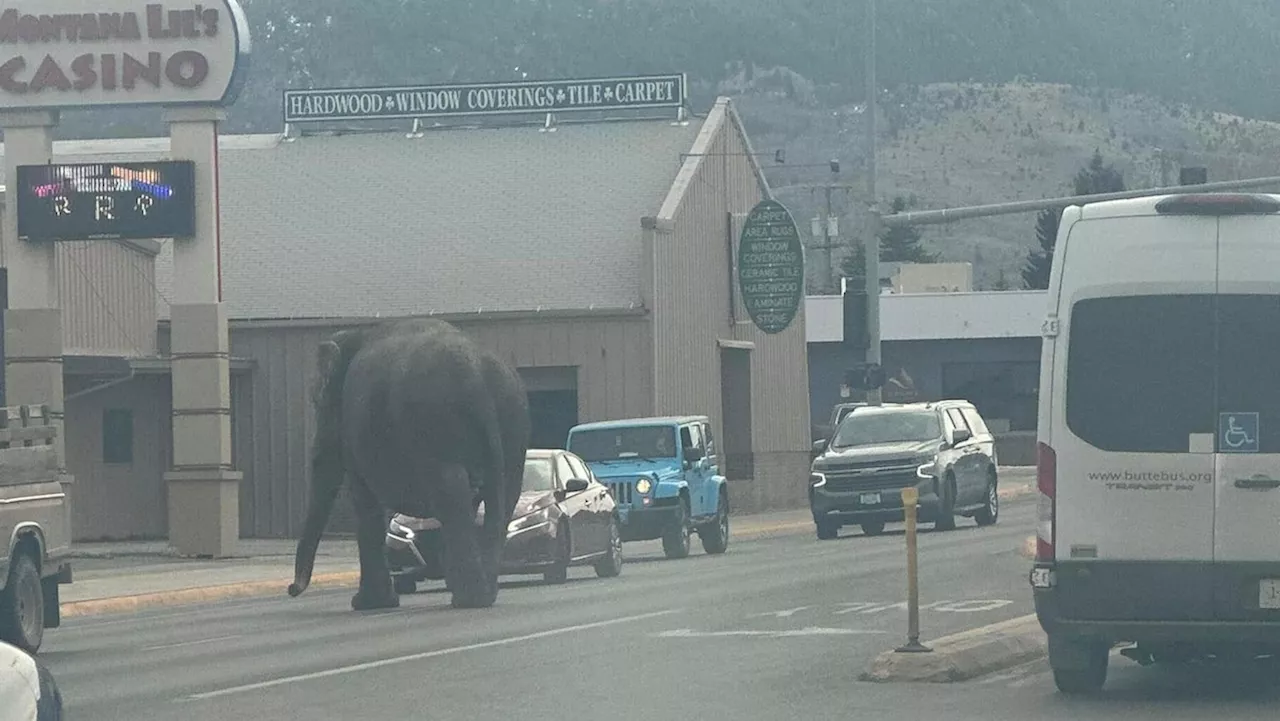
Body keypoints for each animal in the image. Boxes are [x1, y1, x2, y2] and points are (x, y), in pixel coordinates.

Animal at [286, 317, 529, 609]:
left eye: (318, 401)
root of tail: (478, 378)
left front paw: (368, 604)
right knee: (500, 498)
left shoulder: (354, 431)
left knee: (452, 494)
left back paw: (469, 599)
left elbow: (364, 500)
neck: (357, 334)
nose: (291, 589)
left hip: (436, 426)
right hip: (512, 421)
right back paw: (484, 596)